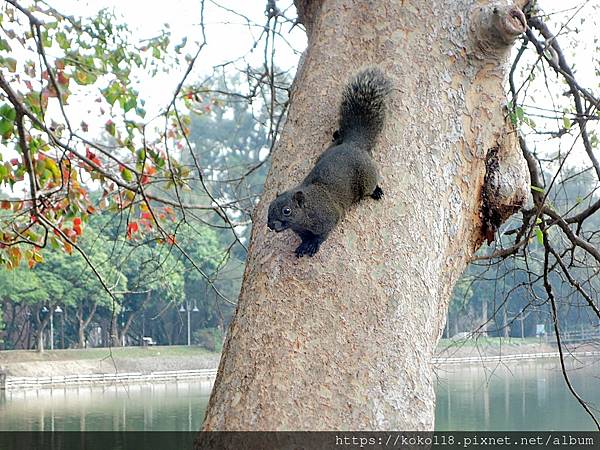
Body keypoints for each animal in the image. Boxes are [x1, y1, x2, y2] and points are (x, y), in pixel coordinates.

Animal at [266, 66, 390, 256]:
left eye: (287, 211)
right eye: (270, 207)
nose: (270, 225)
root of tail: (353, 143)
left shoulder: (329, 218)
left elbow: (322, 235)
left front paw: (312, 245)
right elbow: (304, 238)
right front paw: (303, 245)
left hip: (367, 177)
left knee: (370, 185)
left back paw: (377, 191)